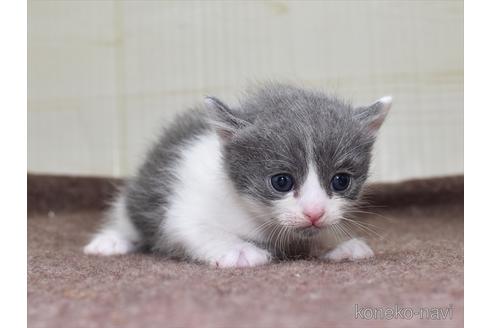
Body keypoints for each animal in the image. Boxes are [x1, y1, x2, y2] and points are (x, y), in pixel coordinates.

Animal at [83, 83, 392, 268]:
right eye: (282, 181)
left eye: (341, 181)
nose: (314, 213)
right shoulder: (184, 210)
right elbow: (192, 227)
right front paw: (239, 251)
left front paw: (339, 243)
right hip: (142, 193)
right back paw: (111, 241)